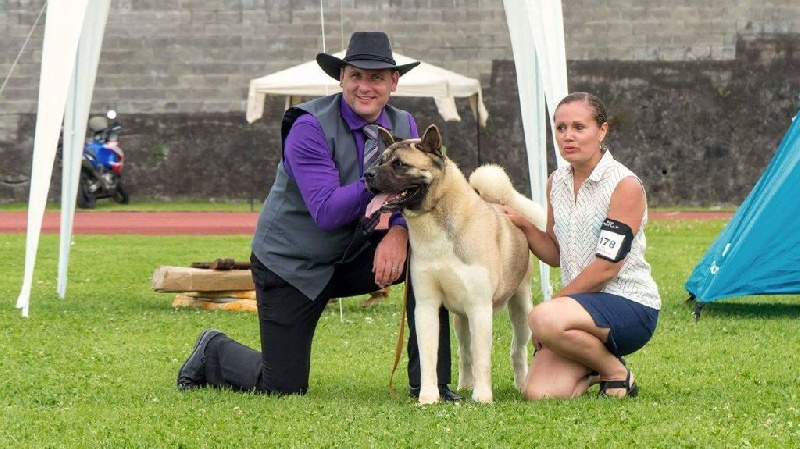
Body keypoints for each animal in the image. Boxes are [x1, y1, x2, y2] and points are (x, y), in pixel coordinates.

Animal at [366, 123, 548, 402]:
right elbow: (429, 357)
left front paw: (482, 398)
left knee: (517, 349)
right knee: (465, 352)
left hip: (521, 307)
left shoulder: (480, 307)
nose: (367, 175)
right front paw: (428, 398)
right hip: (460, 320)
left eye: (400, 164)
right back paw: (464, 385)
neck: (436, 224)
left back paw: (520, 384)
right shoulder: (427, 306)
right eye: (380, 160)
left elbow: (483, 359)